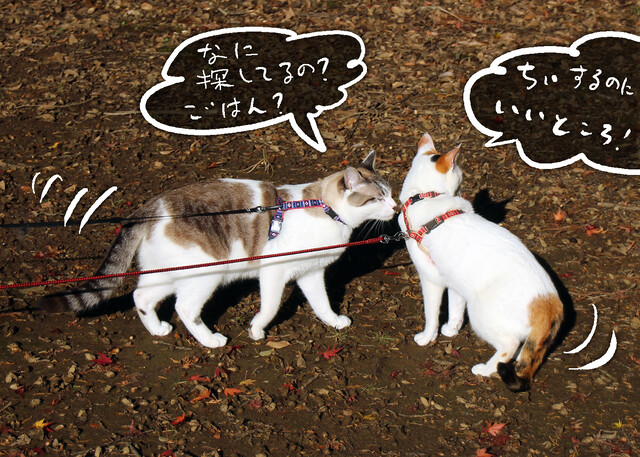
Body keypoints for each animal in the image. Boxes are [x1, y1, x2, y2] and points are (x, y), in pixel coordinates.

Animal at [40, 152, 396, 348]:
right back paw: (211, 340)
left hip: (170, 273)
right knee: (185, 308)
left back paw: (157, 329)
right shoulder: (274, 272)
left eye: (391, 193)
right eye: (377, 198)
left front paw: (334, 321)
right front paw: (256, 330)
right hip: (207, 272)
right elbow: (270, 308)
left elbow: (322, 304)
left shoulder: (311, 273)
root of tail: (151, 207)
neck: (326, 209)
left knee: (141, 297)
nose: (395, 207)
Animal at [399, 132, 563, 391]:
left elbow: (431, 314)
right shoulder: (455, 280)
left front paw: (427, 337)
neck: (423, 198)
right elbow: (455, 310)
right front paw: (451, 330)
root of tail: (549, 303)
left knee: (509, 345)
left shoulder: (431, 279)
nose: (461, 189)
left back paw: (485, 370)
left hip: (481, 315)